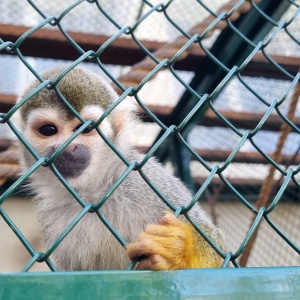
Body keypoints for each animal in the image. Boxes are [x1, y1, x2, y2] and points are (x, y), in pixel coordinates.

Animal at [14, 67, 225, 270]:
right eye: (48, 130)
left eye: (86, 128)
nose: (68, 148)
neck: (93, 193)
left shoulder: (147, 182)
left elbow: (215, 245)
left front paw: (180, 250)